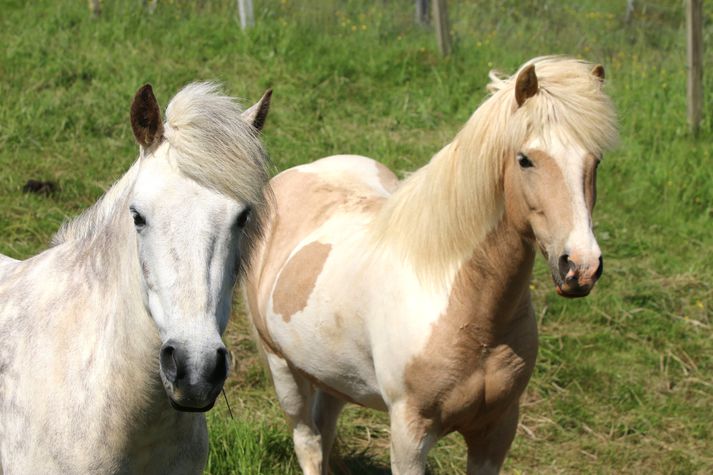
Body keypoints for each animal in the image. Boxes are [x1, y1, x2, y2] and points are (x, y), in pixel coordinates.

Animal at [245, 57, 616, 474]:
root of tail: (297, 173)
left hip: (333, 375)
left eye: (595, 161)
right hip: (282, 369)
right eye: (525, 160)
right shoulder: (410, 432)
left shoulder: (497, 429)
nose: (580, 267)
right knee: (308, 441)